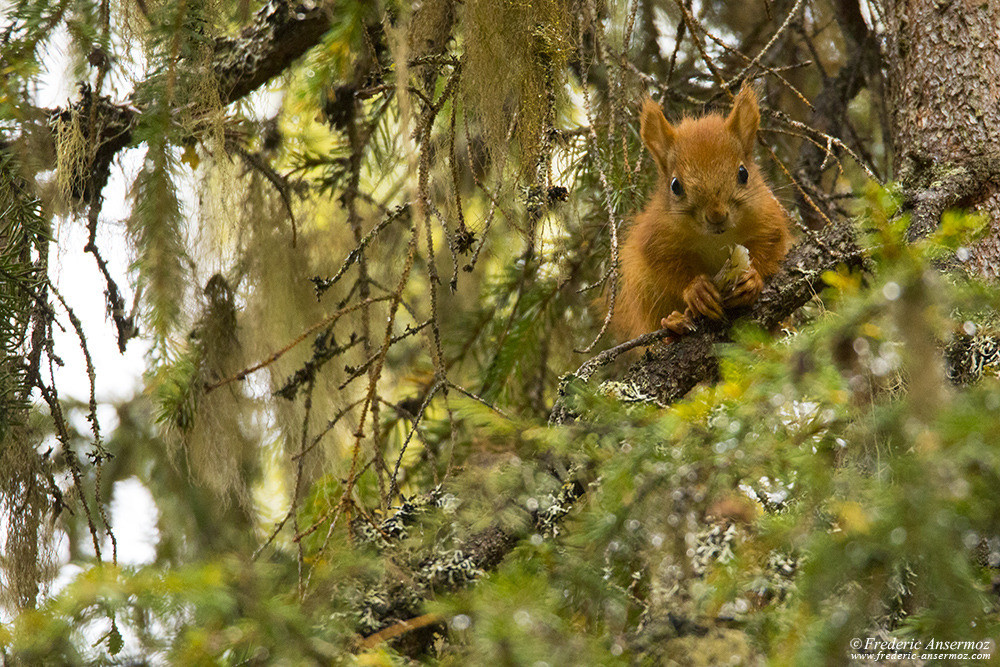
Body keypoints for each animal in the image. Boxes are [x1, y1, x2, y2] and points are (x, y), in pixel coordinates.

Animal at [612, 87, 792, 342]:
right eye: (675, 185)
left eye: (743, 173)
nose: (716, 216)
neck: (715, 238)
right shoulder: (655, 236)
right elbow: (664, 264)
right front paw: (697, 290)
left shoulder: (768, 218)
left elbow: (770, 248)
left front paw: (752, 280)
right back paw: (673, 325)